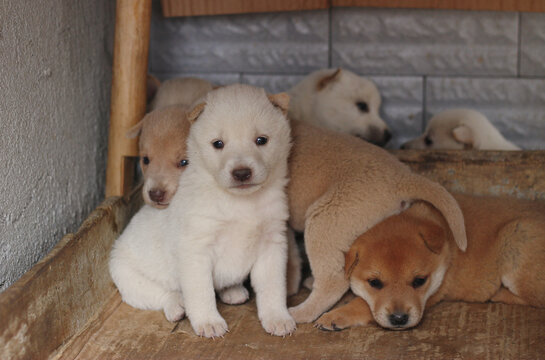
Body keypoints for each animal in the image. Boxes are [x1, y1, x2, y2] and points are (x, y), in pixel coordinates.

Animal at [109, 83, 296, 338]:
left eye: (261, 140)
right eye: (218, 143)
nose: (241, 173)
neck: (241, 204)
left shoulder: (272, 244)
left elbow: (273, 288)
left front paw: (277, 318)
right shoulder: (195, 250)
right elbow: (201, 292)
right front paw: (208, 322)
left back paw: (233, 291)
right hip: (130, 278)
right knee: (163, 294)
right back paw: (177, 307)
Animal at [314, 193, 544, 330]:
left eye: (419, 281)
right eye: (374, 283)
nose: (399, 319)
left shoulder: (435, 293)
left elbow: (362, 304)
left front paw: (335, 315)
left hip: (515, 239)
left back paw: (498, 294)